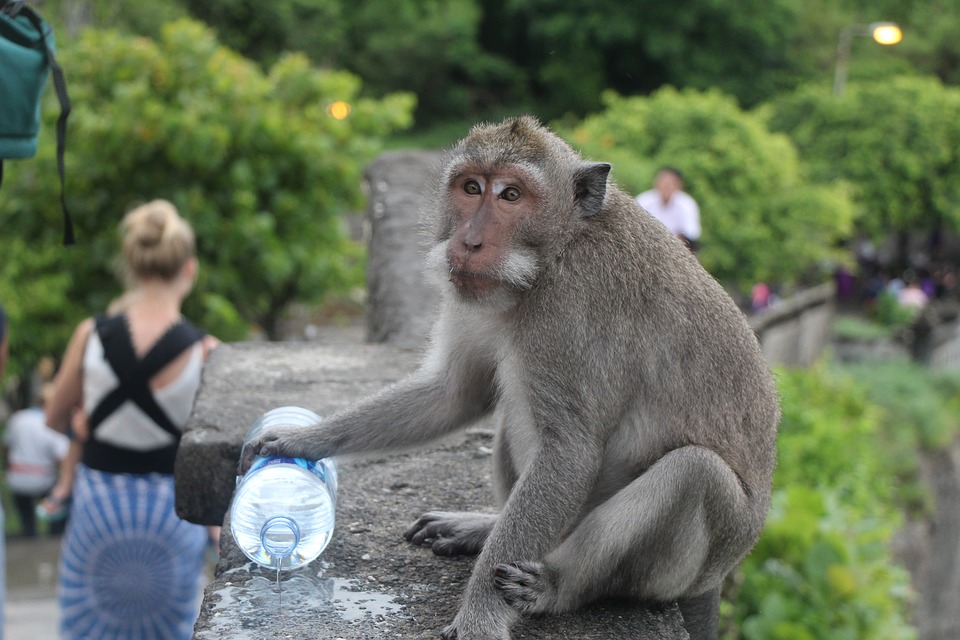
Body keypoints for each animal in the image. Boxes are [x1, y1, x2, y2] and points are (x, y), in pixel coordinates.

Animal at [244, 116, 784, 640]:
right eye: (471, 187)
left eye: (511, 195)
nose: (469, 241)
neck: (553, 254)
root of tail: (717, 578)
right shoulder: (473, 292)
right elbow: (456, 392)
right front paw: (299, 440)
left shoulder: (570, 309)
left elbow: (570, 453)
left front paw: (480, 615)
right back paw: (484, 529)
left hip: (683, 567)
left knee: (695, 473)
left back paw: (556, 586)